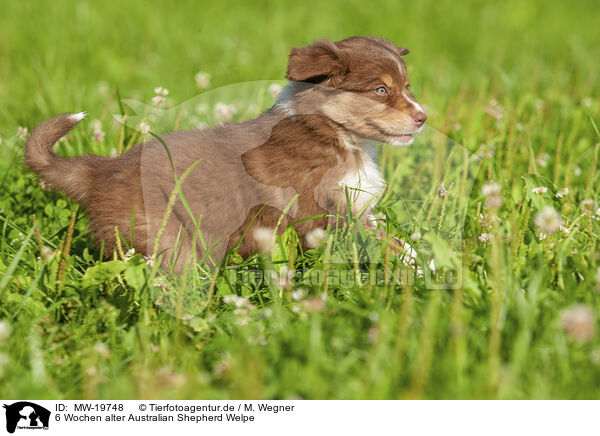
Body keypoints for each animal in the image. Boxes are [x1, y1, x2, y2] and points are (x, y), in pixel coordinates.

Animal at [24, 37, 426, 268]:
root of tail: (100, 170)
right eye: (380, 90)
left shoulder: (359, 211)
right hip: (165, 238)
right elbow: (390, 247)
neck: (334, 134)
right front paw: (424, 271)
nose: (423, 118)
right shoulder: (329, 218)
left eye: (406, 86)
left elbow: (400, 243)